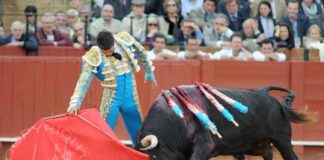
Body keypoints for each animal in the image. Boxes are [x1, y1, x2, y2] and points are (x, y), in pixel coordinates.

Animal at [134, 84, 312, 159]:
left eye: (154, 157)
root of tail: (264, 92)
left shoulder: (205, 145)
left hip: (282, 140)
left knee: (291, 156)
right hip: (252, 144)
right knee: (267, 152)